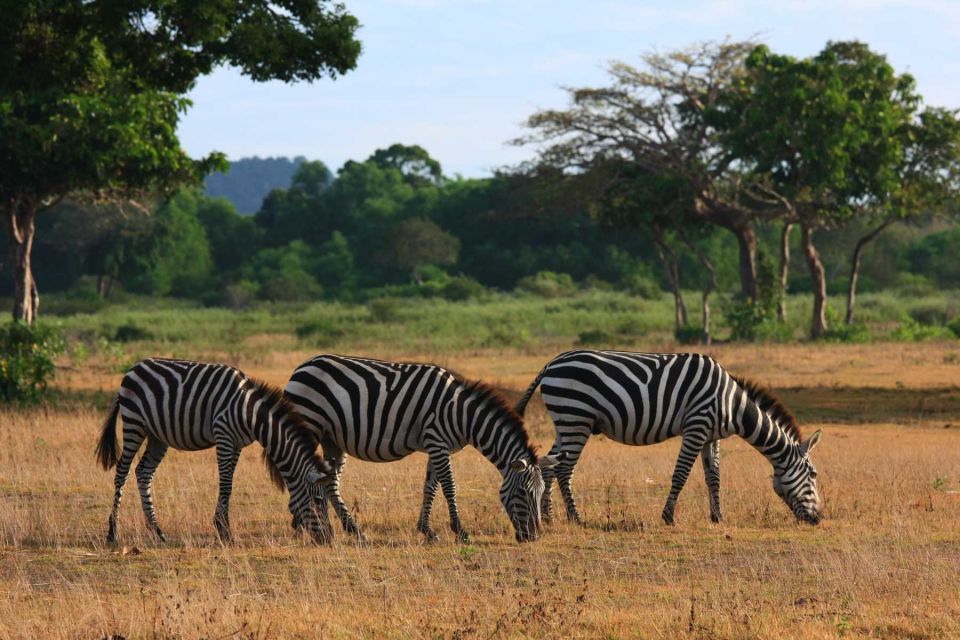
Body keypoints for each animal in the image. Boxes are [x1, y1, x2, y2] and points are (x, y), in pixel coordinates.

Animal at [94, 358, 334, 544]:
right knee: (122, 472)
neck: (252, 415)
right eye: (318, 501)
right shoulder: (224, 436)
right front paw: (224, 531)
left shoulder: (237, 444)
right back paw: (113, 533)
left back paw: (158, 531)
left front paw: (222, 528)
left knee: (143, 472)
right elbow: (226, 485)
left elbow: (230, 484)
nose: (329, 539)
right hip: (134, 423)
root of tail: (134, 368)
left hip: (157, 436)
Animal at [282, 352, 564, 544]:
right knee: (301, 473)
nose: (534, 537)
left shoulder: (437, 446)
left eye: (541, 493)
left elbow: (430, 487)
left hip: (333, 439)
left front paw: (427, 530)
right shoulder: (437, 441)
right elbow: (449, 486)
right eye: (523, 493)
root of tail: (302, 366)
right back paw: (301, 524)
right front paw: (460, 531)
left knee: (329, 481)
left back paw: (351, 530)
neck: (461, 414)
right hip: (310, 425)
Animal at [516, 352, 824, 528]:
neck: (732, 404)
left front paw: (718, 517)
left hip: (566, 422)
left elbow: (714, 478)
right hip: (576, 418)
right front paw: (668, 517)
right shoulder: (696, 426)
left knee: (549, 465)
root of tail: (551, 363)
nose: (819, 519)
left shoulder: (711, 437)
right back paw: (575, 518)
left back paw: (549, 517)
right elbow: (681, 474)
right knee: (564, 469)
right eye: (813, 474)